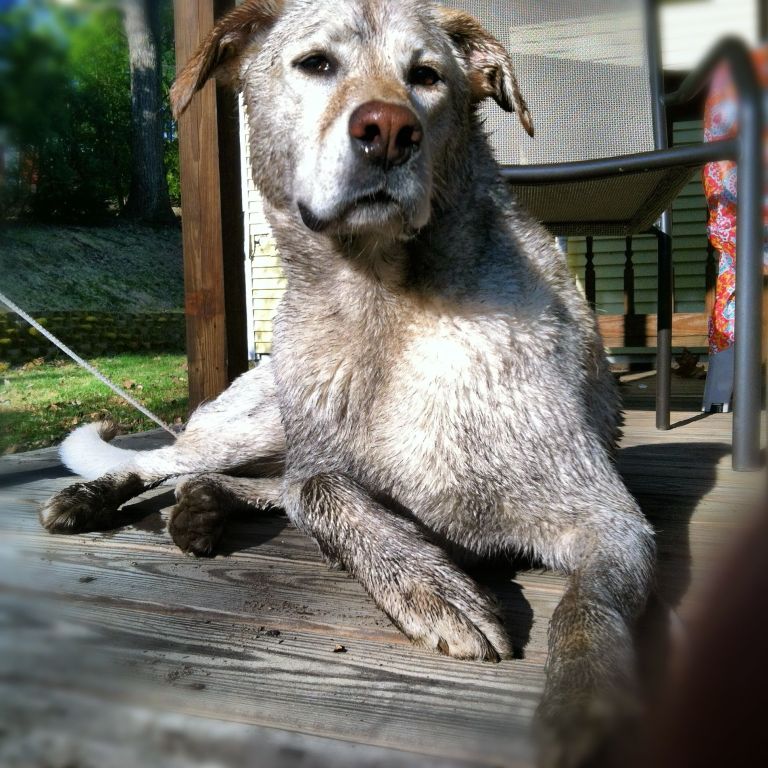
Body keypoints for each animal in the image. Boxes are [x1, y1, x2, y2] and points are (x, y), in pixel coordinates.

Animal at [40, 1, 655, 765]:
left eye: (427, 76)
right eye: (316, 64)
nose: (388, 131)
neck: (382, 305)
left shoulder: (610, 521)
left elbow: (587, 606)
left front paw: (587, 702)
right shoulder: (321, 459)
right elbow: (322, 489)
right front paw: (428, 585)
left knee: (239, 484)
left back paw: (201, 510)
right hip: (260, 420)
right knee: (168, 462)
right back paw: (94, 498)